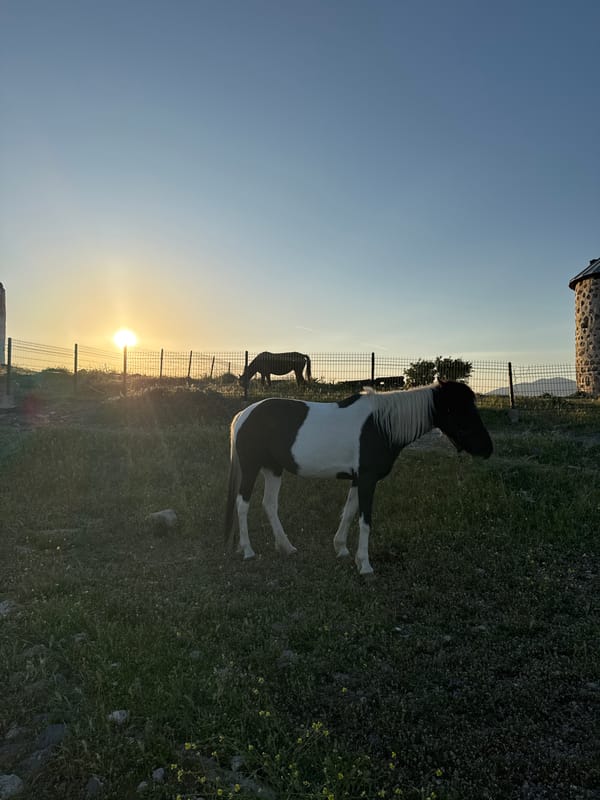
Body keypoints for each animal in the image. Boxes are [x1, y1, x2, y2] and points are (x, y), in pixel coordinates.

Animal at [224, 380, 493, 576]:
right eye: (457, 409)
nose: (487, 449)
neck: (382, 425)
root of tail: (244, 414)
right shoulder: (367, 479)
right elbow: (365, 521)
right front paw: (364, 564)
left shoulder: (357, 479)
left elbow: (349, 511)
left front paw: (341, 549)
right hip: (251, 467)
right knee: (243, 504)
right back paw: (248, 550)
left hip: (274, 469)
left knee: (269, 505)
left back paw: (286, 547)